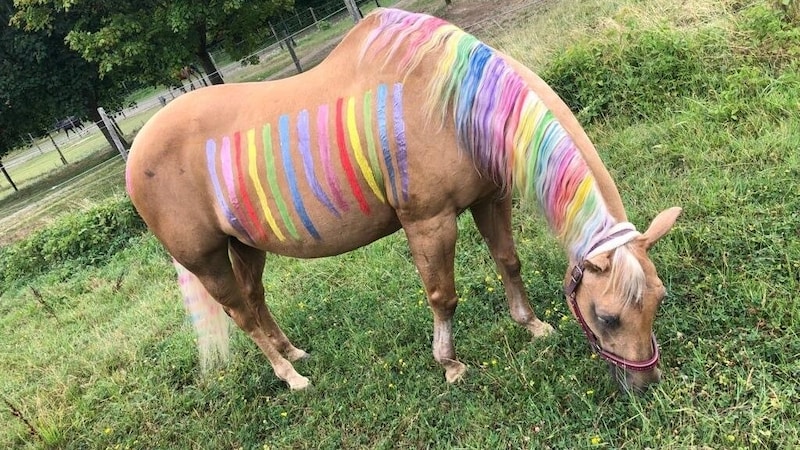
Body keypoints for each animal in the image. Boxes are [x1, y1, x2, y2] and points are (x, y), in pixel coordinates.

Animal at [126, 7, 680, 394]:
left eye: (659, 299)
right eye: (607, 317)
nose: (645, 384)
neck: (457, 103)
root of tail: (136, 155)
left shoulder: (490, 198)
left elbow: (508, 261)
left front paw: (533, 326)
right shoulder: (429, 221)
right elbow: (442, 295)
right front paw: (450, 365)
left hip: (245, 245)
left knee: (256, 300)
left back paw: (296, 353)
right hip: (207, 260)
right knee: (241, 314)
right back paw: (291, 376)